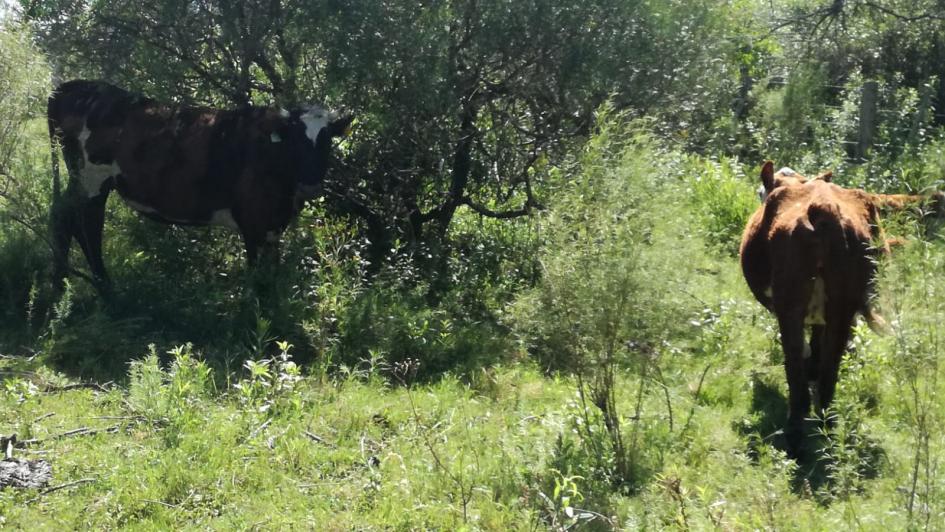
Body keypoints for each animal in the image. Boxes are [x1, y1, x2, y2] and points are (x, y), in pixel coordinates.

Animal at [744, 161, 936, 454]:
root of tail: (825, 208)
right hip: (843, 306)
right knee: (830, 364)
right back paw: (827, 428)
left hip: (791, 304)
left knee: (795, 362)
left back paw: (795, 437)